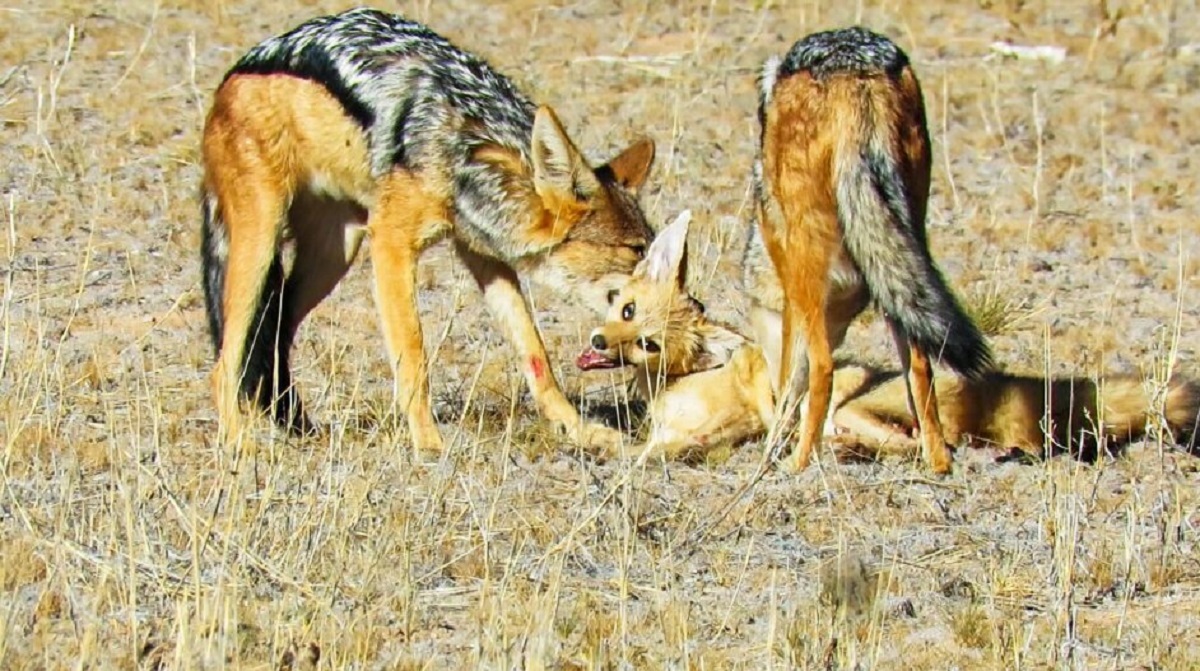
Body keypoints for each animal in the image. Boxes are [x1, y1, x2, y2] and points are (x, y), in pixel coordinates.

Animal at [201, 9, 662, 451]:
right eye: (636, 250)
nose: (677, 300)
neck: (469, 147)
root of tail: (232, 75)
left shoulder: (483, 256)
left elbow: (535, 352)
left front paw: (578, 430)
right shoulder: (391, 245)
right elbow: (413, 355)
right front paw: (428, 443)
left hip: (334, 254)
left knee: (275, 331)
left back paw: (297, 426)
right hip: (261, 245)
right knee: (225, 361)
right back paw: (239, 443)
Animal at [748, 27, 993, 477]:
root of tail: (854, 66)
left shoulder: (791, 290)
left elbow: (793, 379)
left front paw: (774, 445)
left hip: (808, 267)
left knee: (823, 367)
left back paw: (797, 462)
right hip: (903, 256)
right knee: (921, 364)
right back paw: (937, 460)